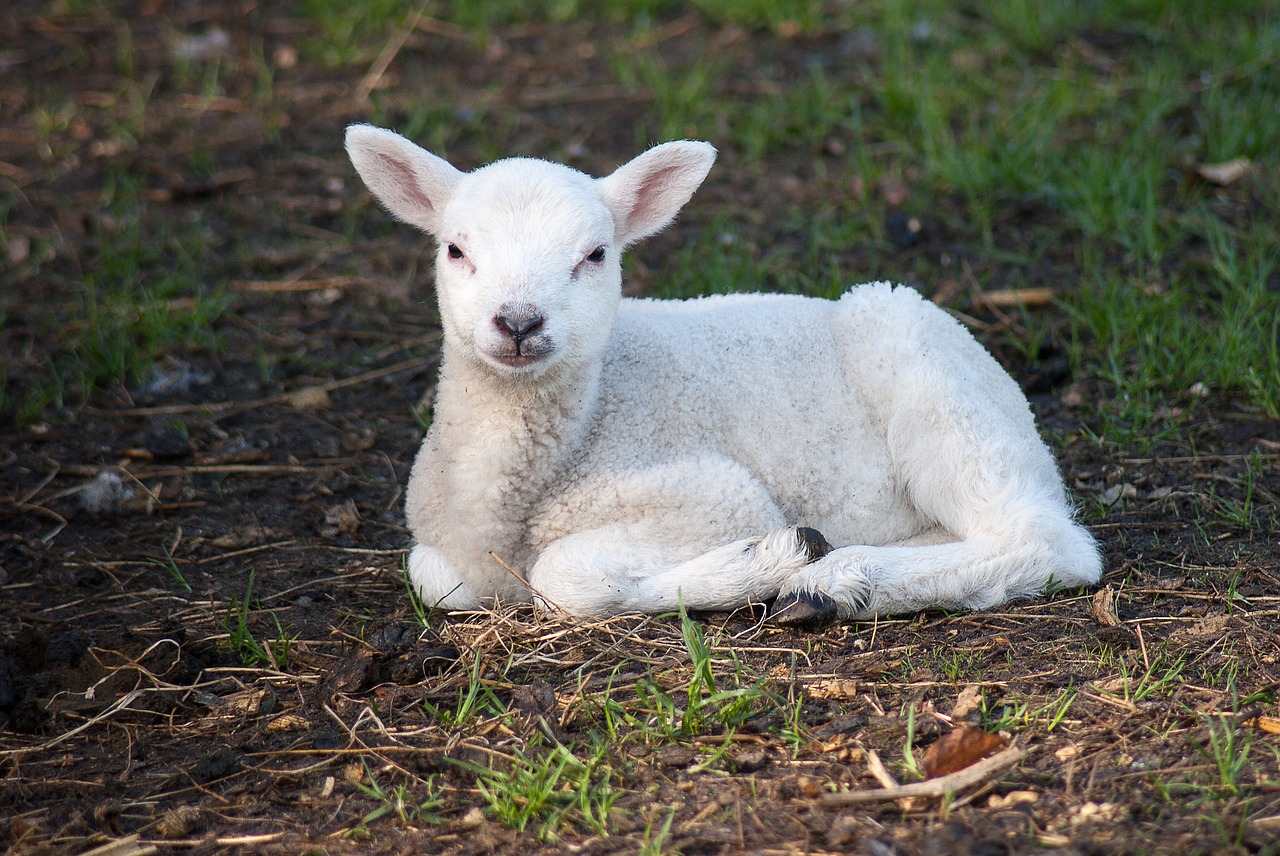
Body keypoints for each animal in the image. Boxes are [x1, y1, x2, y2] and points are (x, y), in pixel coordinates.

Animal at [345, 125, 1105, 621]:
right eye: (454, 250)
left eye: (595, 254)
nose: (519, 322)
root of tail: (1009, 393)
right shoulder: (441, 550)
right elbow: (431, 577)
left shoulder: (712, 494)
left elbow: (562, 576)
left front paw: (765, 561)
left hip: (924, 369)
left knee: (1047, 541)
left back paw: (835, 582)